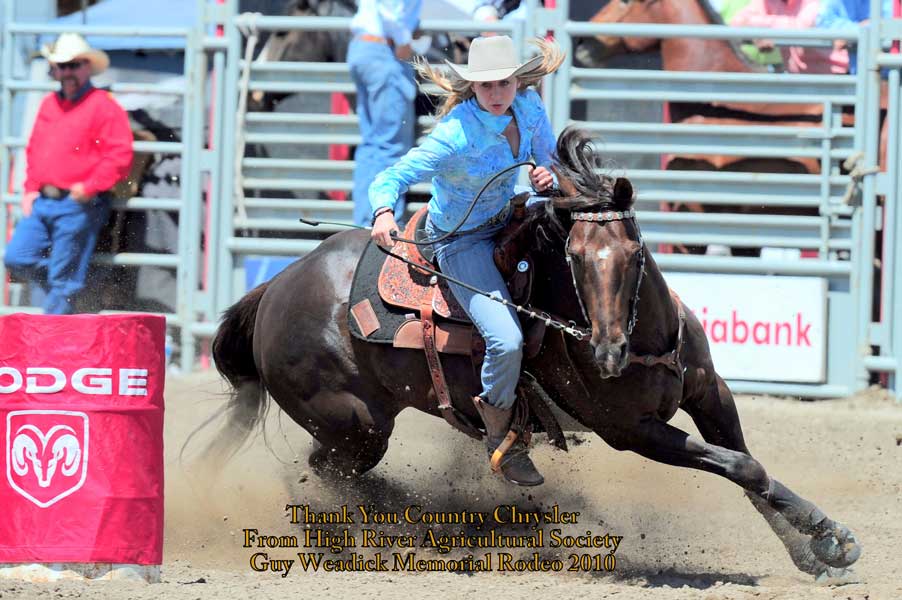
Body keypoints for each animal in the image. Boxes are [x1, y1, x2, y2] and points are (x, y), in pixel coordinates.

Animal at [210, 127, 860, 580]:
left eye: (633, 252)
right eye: (573, 257)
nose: (607, 353)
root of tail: (275, 289)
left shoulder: (711, 392)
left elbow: (749, 468)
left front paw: (816, 549)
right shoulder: (633, 432)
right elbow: (741, 466)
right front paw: (827, 538)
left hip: (359, 428)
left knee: (327, 476)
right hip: (356, 426)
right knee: (326, 476)